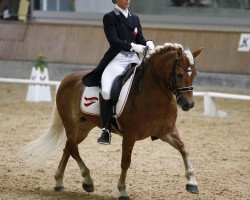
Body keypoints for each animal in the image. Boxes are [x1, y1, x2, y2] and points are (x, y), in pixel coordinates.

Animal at [24, 43, 203, 199]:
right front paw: (122, 190)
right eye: (179, 74)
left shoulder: (166, 131)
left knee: (68, 147)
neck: (153, 93)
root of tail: (67, 79)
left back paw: (59, 182)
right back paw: (87, 181)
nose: (188, 104)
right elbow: (125, 162)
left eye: (194, 74)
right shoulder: (130, 135)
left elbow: (184, 149)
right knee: (73, 148)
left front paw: (192, 182)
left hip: (83, 127)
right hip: (71, 124)